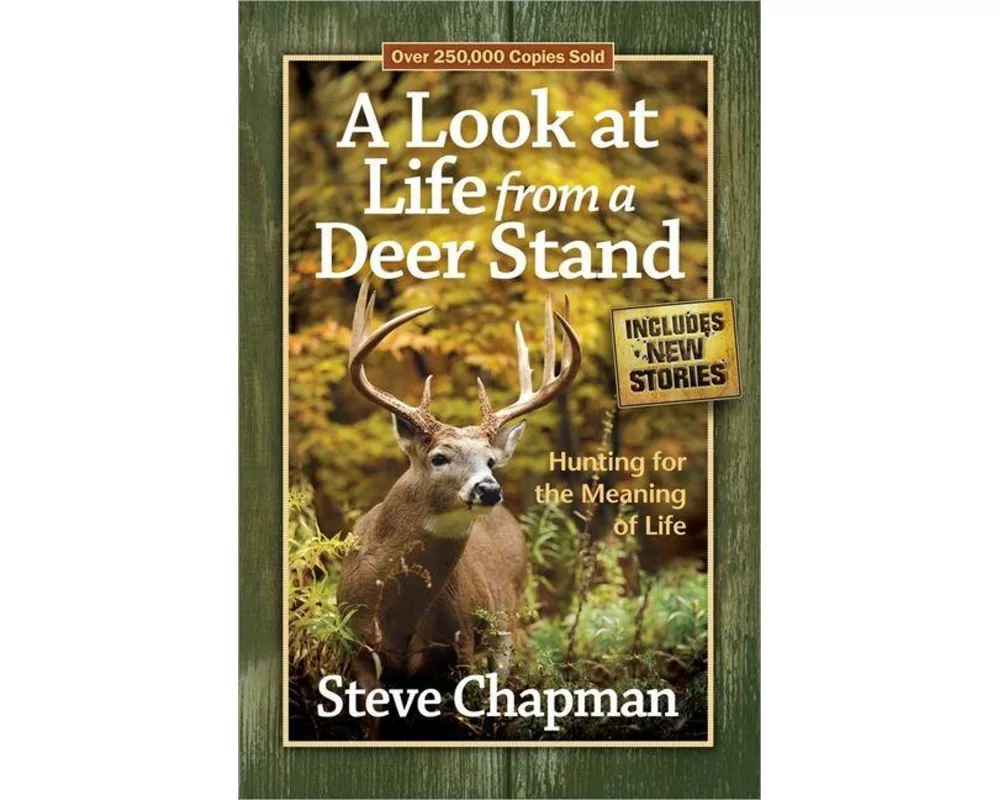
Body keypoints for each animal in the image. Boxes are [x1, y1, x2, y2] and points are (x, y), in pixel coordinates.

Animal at [336, 277, 581, 738]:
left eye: (490, 460)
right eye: (439, 457)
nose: (488, 489)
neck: (398, 618)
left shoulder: (459, 646)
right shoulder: (358, 652)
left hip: (508, 624)